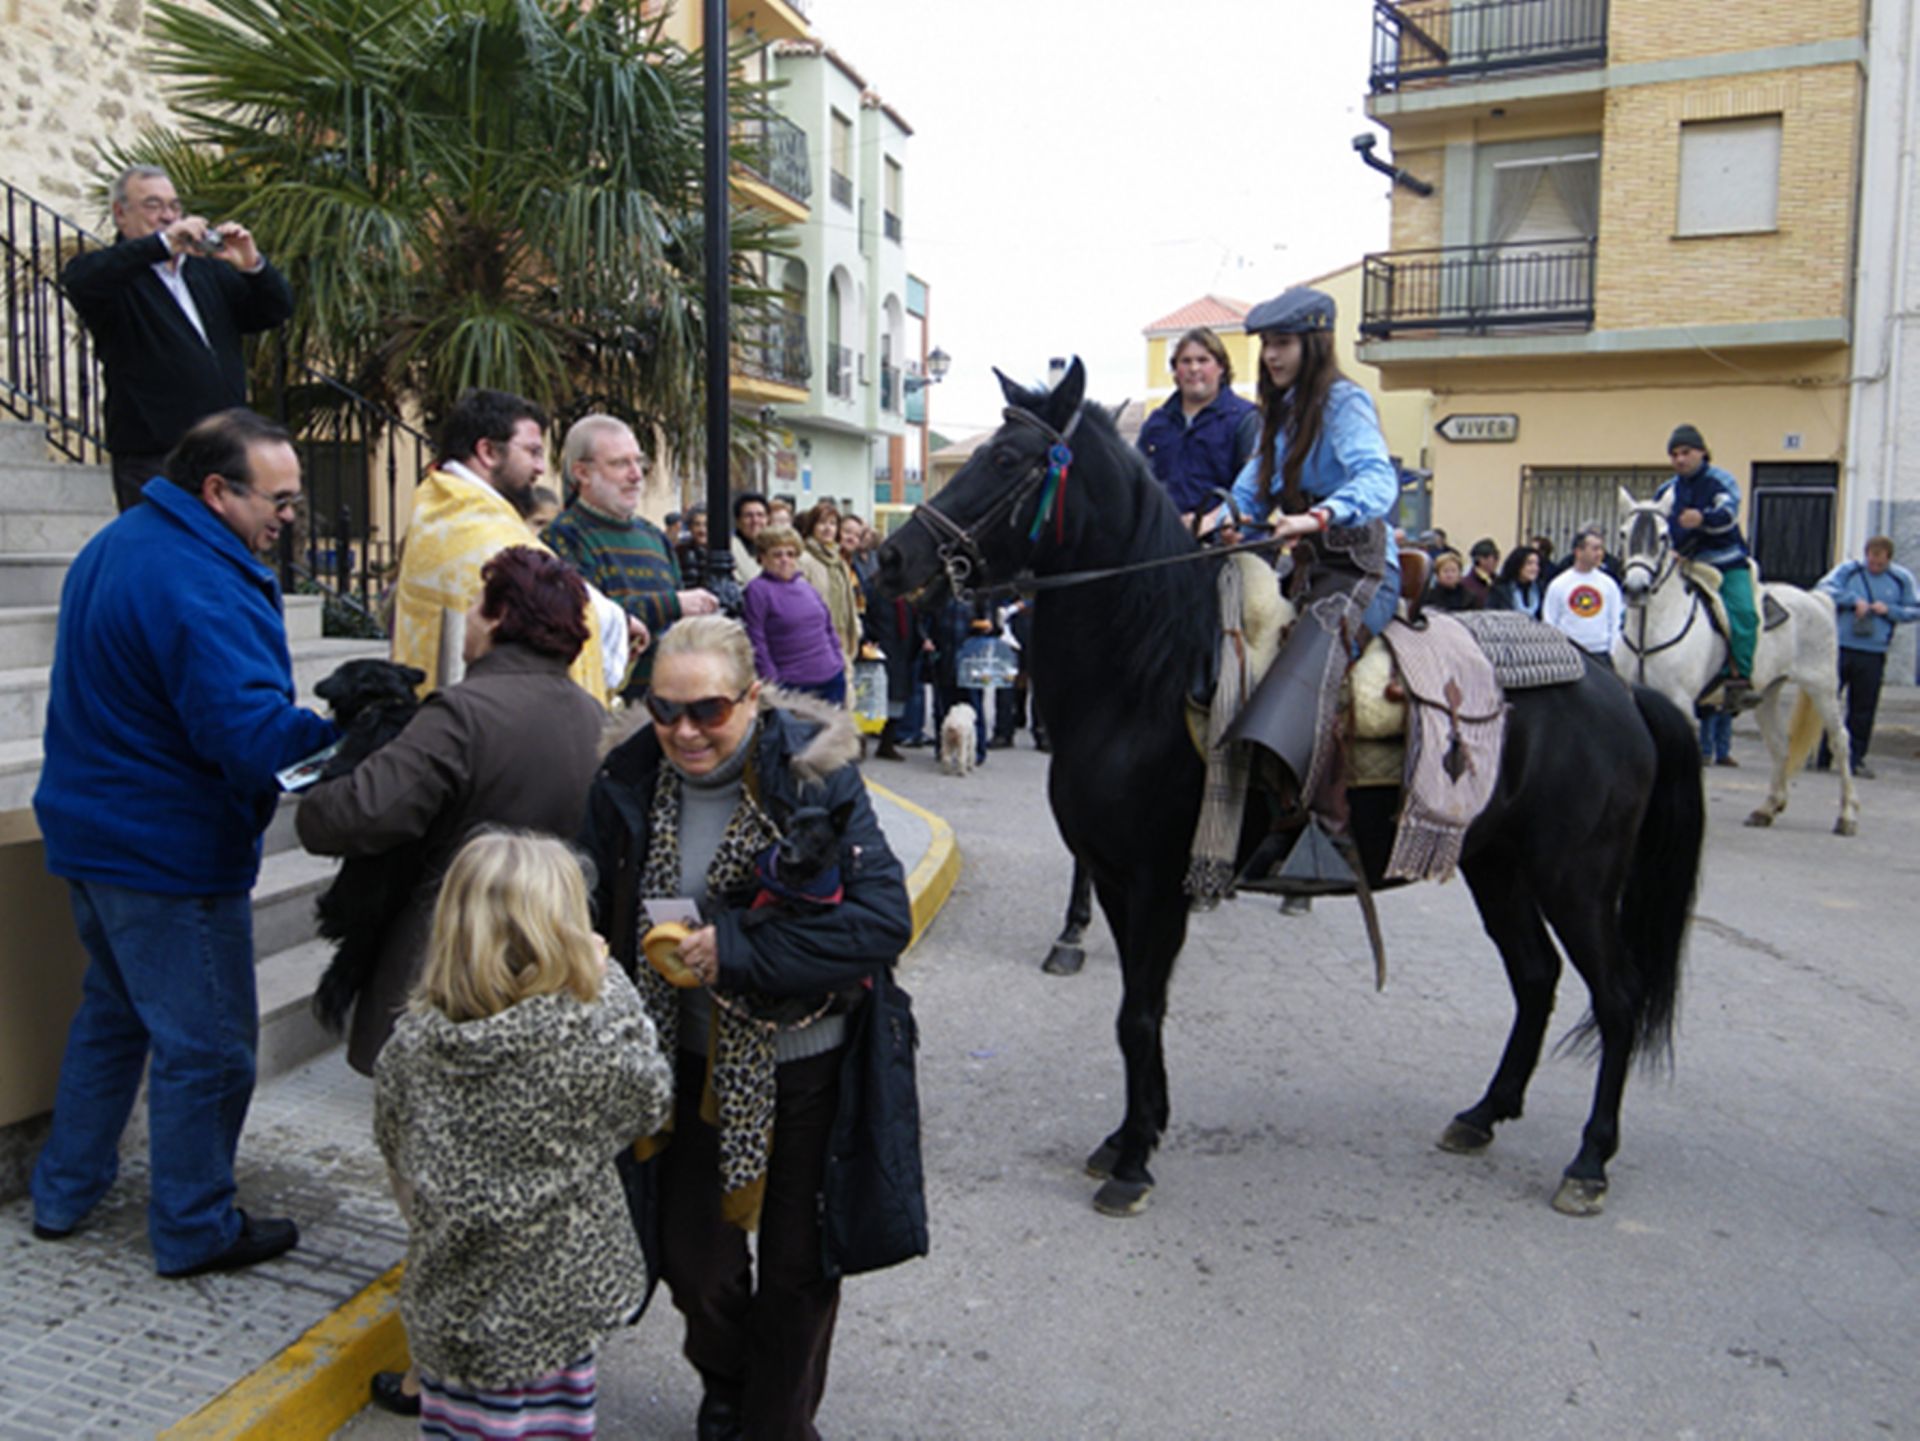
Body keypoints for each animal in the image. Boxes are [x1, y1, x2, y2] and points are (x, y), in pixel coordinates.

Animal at [879, 360, 1704, 1220]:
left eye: (1009, 460)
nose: (892, 558)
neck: (1149, 676)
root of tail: (1622, 692)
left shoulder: (1157, 880)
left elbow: (1139, 1013)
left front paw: (1132, 1161)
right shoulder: (1110, 877)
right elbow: (1140, 1004)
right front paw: (1134, 1130)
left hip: (1576, 878)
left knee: (1615, 996)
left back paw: (1589, 1160)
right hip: (1498, 865)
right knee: (1536, 976)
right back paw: (1484, 1113)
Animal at [1612, 495, 1850, 832]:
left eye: (1663, 535)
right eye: (1623, 533)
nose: (1636, 588)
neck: (1651, 625)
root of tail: (1816, 599)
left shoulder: (1680, 701)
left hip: (1822, 687)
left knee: (1841, 741)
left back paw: (1847, 815)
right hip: (1768, 693)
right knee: (1780, 744)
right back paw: (1767, 809)